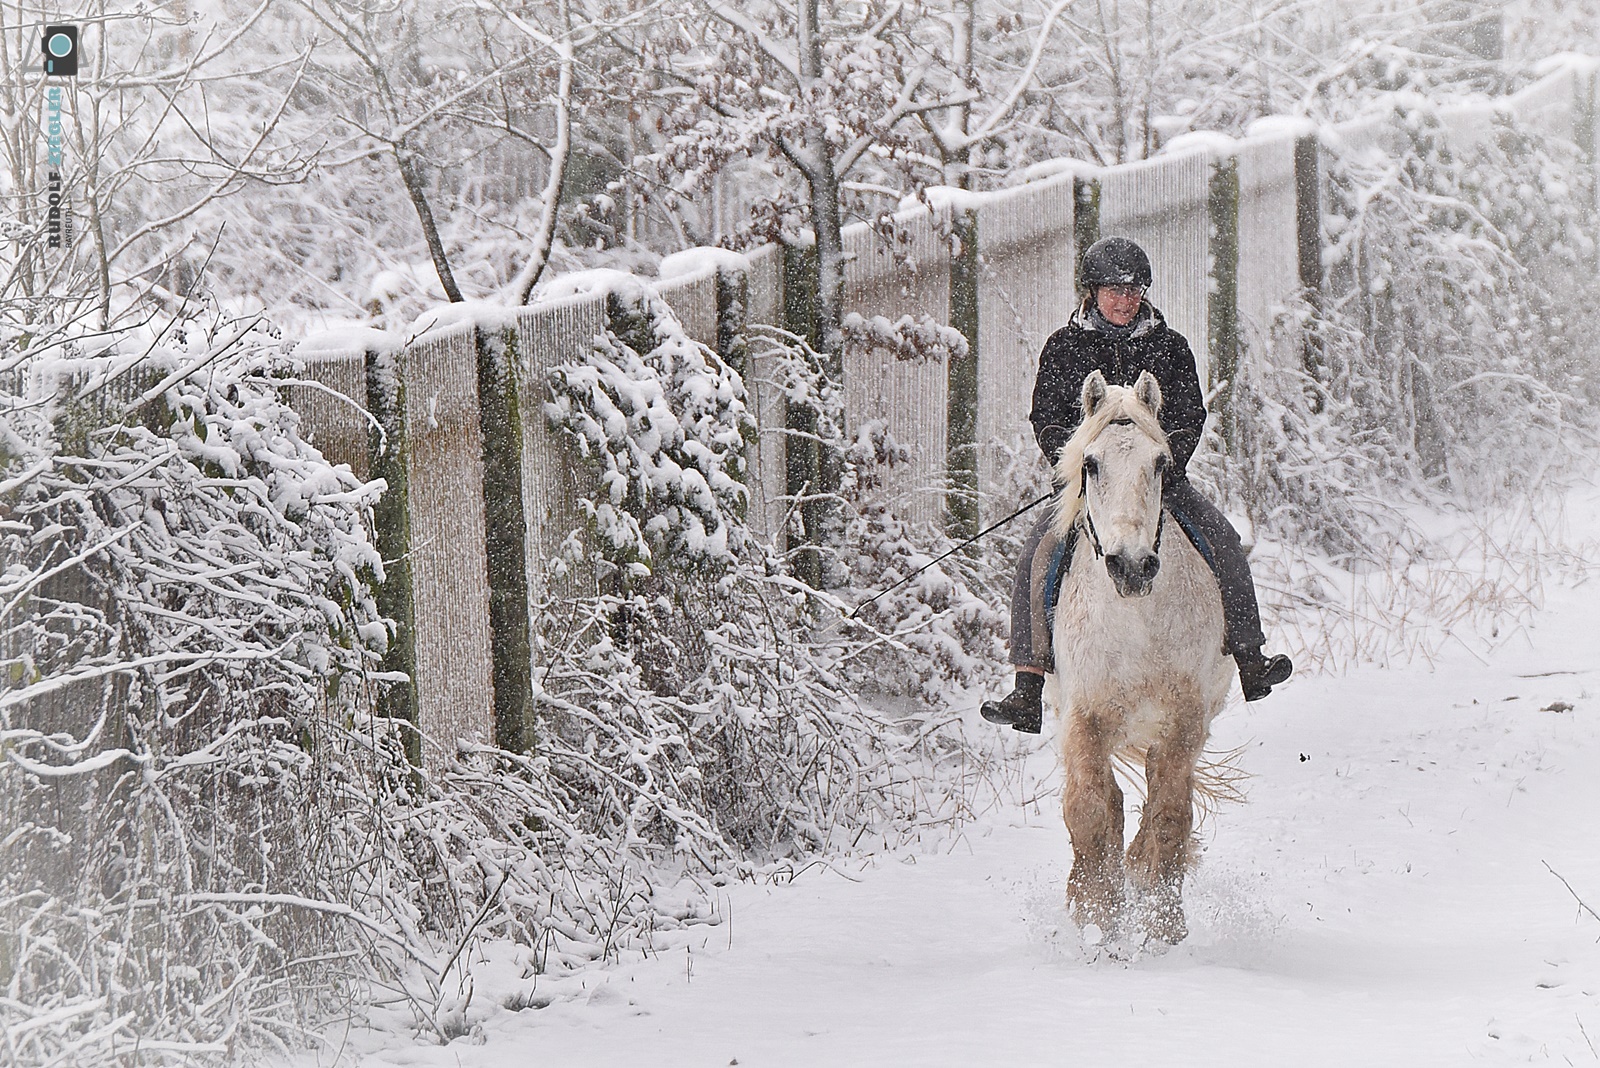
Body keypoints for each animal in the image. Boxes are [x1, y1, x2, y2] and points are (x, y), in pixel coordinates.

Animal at [1049, 369, 1235, 940]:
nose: (1131, 566)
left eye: (1160, 464)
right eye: (1090, 463)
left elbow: (1169, 817)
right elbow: (1091, 813)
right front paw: (1098, 924)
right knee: (1109, 805)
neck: (1134, 622)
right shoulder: (1084, 718)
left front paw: (1162, 928)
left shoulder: (1184, 721)